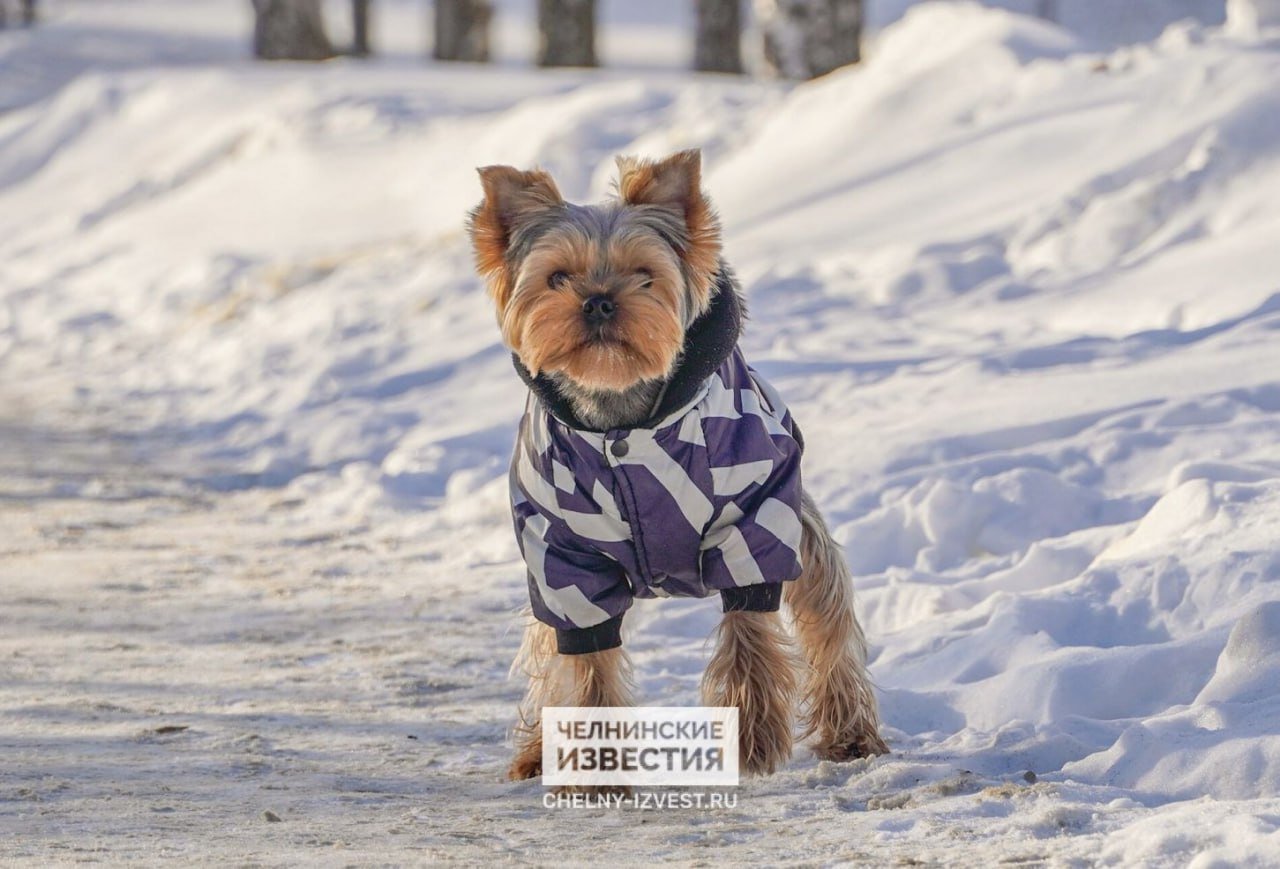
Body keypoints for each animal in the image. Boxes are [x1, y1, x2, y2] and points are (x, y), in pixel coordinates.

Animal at [471, 149, 890, 783]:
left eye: (645, 274)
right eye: (557, 277)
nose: (598, 300)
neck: (622, 421)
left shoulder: (754, 521)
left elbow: (750, 630)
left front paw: (753, 739)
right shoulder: (561, 560)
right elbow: (585, 661)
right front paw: (597, 771)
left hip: (797, 524)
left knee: (827, 616)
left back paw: (850, 734)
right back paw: (536, 754)